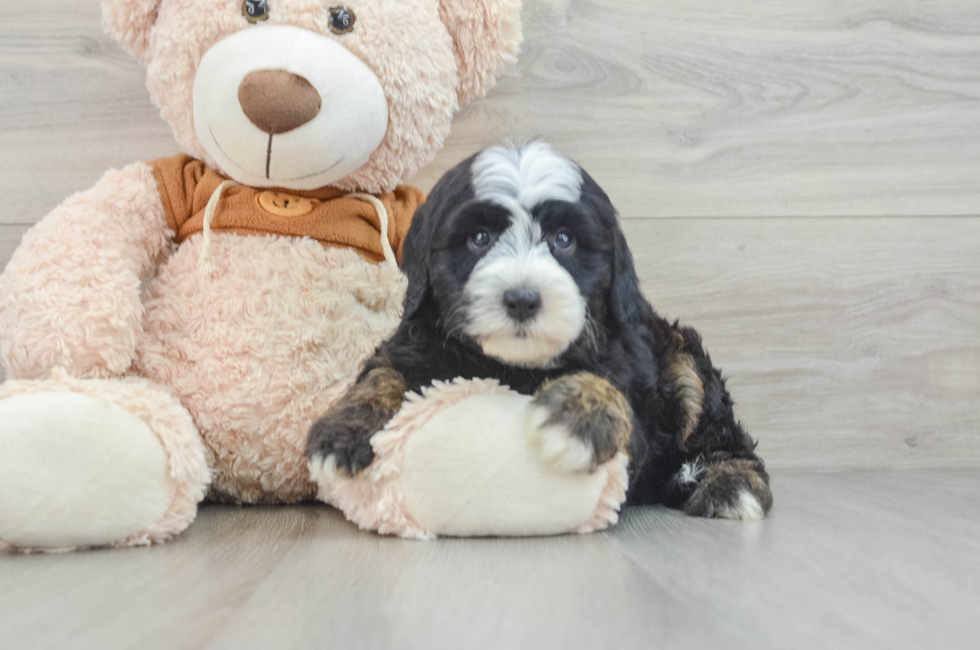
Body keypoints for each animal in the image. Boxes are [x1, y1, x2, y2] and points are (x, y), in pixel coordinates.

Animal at [306, 142, 772, 516]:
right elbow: (382, 376)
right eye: (479, 238)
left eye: (563, 240)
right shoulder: (411, 348)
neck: (511, 363)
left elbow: (614, 391)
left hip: (682, 358)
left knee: (721, 433)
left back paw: (732, 485)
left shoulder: (630, 376)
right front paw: (343, 430)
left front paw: (578, 416)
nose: (522, 299)